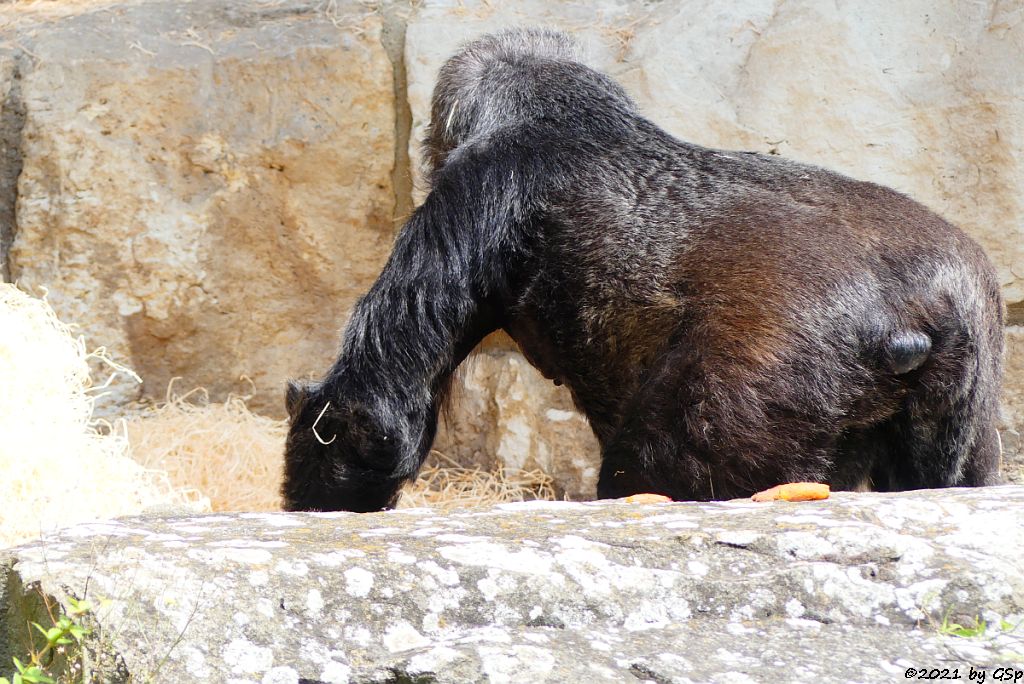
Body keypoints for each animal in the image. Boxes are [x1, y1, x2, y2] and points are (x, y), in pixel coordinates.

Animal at [280, 30, 999, 511]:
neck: (568, 113)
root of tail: (918, 313)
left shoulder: (473, 194)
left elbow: (371, 411)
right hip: (969, 351)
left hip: (760, 383)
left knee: (656, 472)